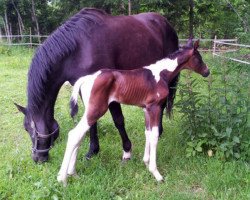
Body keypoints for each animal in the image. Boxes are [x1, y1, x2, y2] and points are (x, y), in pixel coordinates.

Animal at [56, 39, 209, 185]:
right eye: (199, 58)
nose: (207, 72)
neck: (161, 74)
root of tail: (86, 78)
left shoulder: (146, 109)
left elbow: (147, 133)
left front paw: (146, 162)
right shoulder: (154, 107)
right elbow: (154, 135)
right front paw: (156, 173)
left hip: (90, 109)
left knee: (80, 135)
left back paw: (72, 173)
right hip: (96, 110)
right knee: (74, 134)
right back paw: (63, 179)